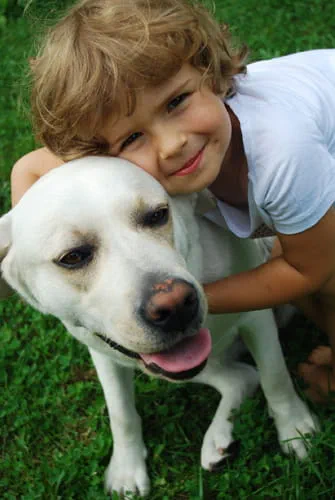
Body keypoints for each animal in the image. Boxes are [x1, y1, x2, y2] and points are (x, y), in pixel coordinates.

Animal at [0, 156, 318, 496]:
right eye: (72, 257)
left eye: (157, 215)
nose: (175, 306)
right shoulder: (104, 353)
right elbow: (121, 413)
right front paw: (126, 467)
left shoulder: (256, 315)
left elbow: (275, 375)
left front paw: (294, 426)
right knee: (241, 377)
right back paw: (218, 439)